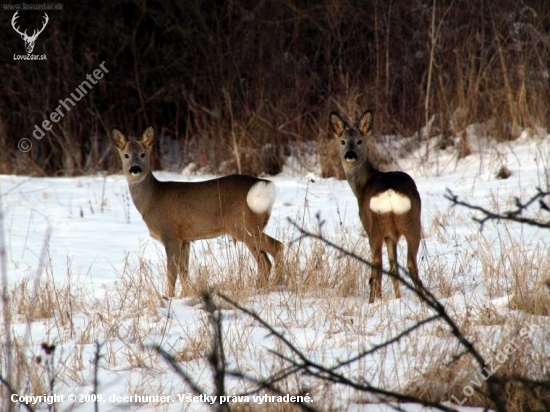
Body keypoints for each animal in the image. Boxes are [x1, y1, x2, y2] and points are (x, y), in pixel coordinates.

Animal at [112, 125, 284, 296]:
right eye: (126, 155)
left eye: (143, 154)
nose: (135, 169)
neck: (151, 199)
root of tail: (263, 185)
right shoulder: (185, 239)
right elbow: (184, 271)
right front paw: (185, 295)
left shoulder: (170, 235)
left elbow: (171, 272)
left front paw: (169, 297)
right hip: (247, 227)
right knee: (264, 261)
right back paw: (261, 288)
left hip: (243, 225)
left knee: (277, 247)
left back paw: (278, 283)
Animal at [330, 109, 424, 302]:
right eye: (343, 141)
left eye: (359, 140)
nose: (350, 154)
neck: (362, 186)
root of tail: (390, 192)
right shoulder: (391, 236)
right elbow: (394, 267)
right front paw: (397, 298)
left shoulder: (367, 225)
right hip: (412, 222)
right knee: (409, 263)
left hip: (376, 225)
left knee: (376, 263)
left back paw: (373, 301)